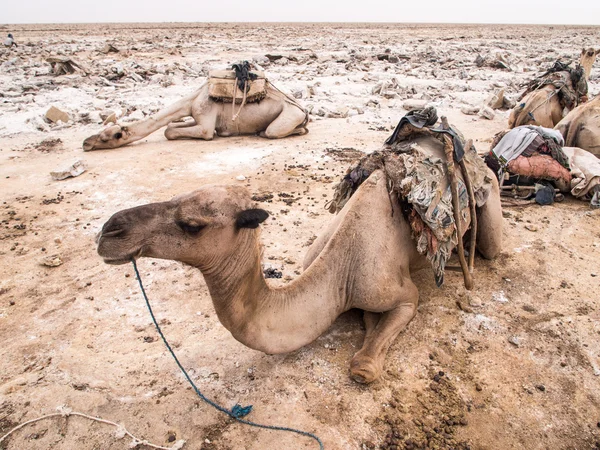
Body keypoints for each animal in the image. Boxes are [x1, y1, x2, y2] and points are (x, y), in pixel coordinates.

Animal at [81, 79, 308, 151]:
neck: (191, 102)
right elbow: (169, 128)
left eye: (106, 138)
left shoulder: (205, 122)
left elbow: (179, 132)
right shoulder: (196, 117)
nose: (86, 143)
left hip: (289, 115)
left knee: (274, 131)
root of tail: (304, 110)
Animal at [97, 134, 502, 384]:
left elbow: (365, 365)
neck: (339, 274)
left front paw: (366, 358)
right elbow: (369, 321)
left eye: (192, 224)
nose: (109, 232)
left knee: (490, 246)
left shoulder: (397, 292)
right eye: (175, 197)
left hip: (491, 200)